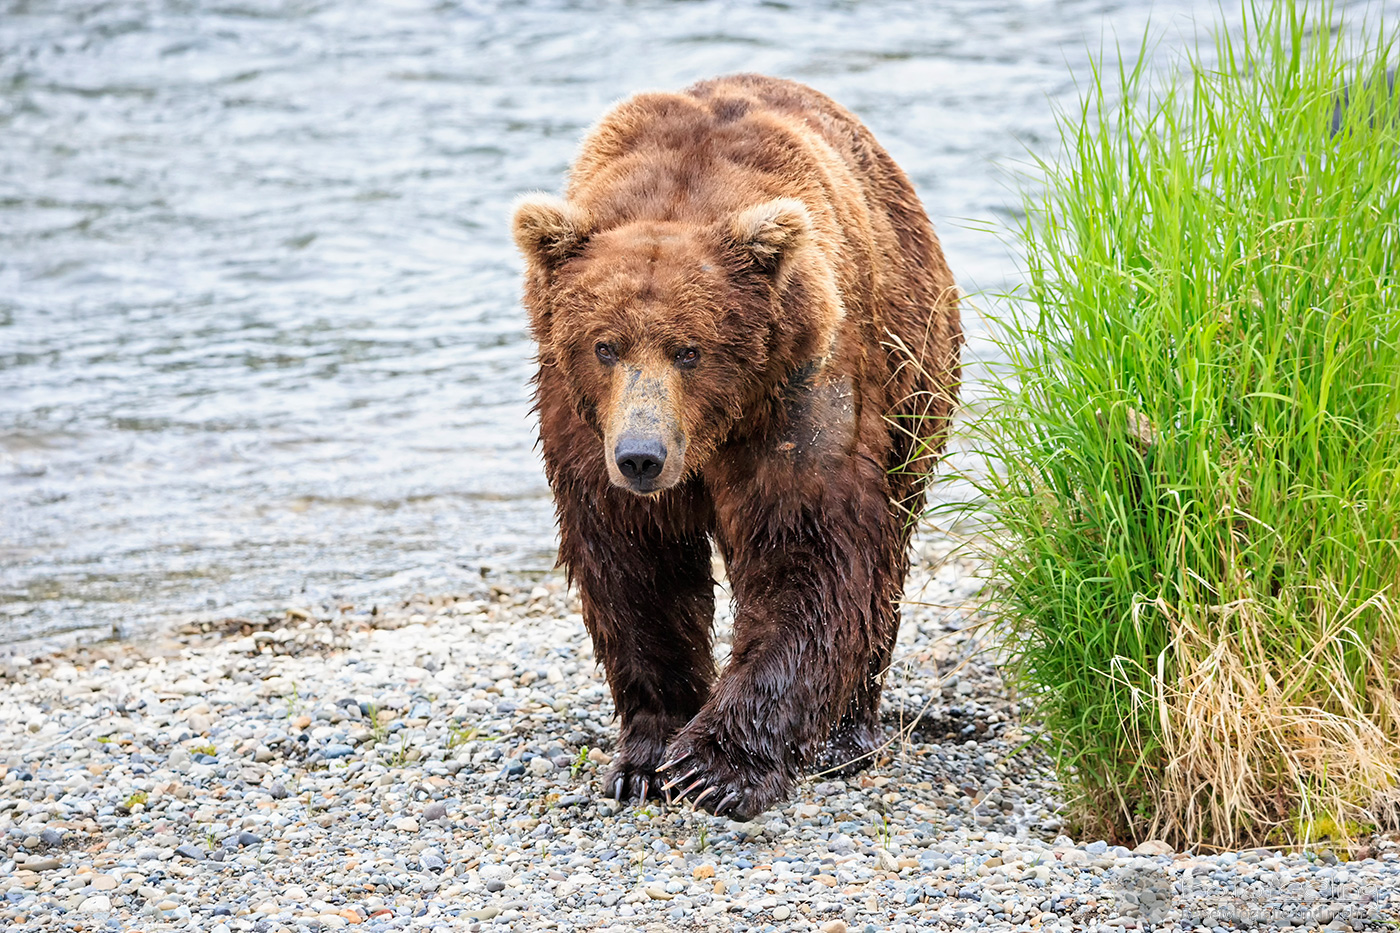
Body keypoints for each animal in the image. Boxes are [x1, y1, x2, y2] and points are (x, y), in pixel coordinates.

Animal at [512, 74, 961, 819]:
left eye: (690, 349)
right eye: (605, 345)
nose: (641, 456)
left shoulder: (794, 392)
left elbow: (807, 556)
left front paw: (715, 769)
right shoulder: (583, 427)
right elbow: (635, 568)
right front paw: (644, 760)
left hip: (916, 375)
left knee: (885, 562)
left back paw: (849, 737)